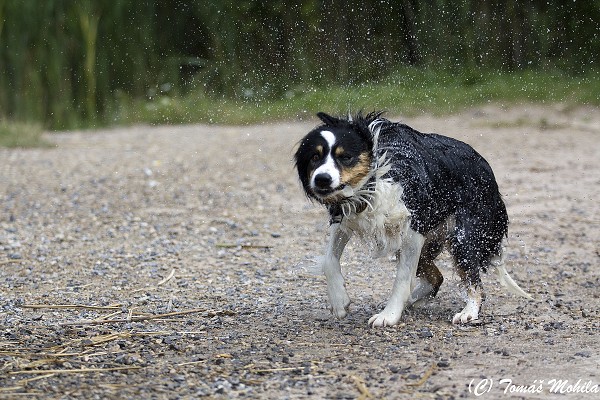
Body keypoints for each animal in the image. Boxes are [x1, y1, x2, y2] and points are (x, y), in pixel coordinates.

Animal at [292, 111, 532, 326]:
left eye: (345, 157)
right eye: (315, 157)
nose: (322, 179)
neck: (375, 178)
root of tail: (486, 168)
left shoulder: (413, 226)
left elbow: (402, 278)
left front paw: (388, 315)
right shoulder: (345, 217)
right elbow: (329, 260)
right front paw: (339, 301)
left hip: (463, 236)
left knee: (474, 281)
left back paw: (468, 312)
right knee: (436, 277)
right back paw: (413, 300)